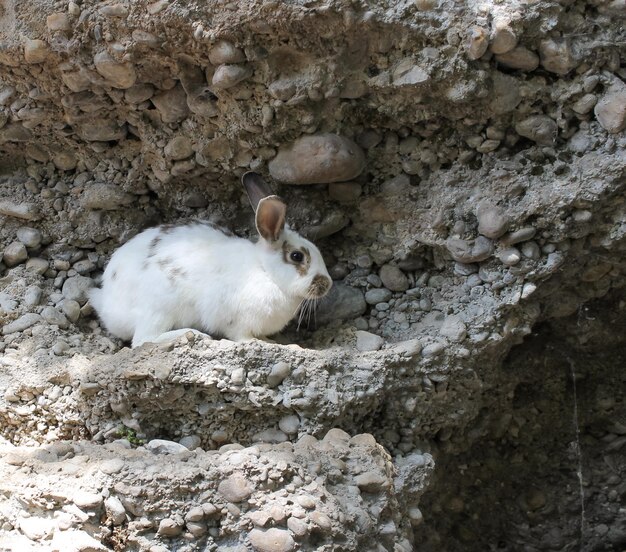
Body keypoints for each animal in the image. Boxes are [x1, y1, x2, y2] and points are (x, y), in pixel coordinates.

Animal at [89, 170, 332, 348]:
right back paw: (191, 334)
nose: (327, 284)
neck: (266, 272)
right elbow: (243, 337)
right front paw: (268, 343)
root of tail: (107, 304)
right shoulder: (239, 322)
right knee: (143, 340)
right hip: (158, 309)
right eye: (297, 256)